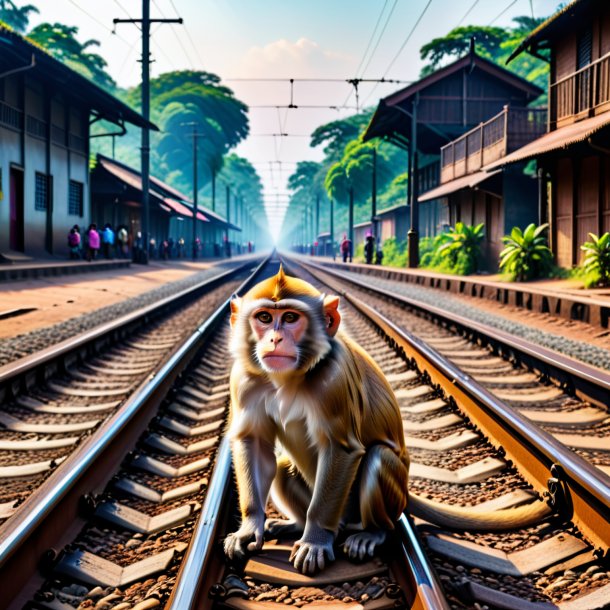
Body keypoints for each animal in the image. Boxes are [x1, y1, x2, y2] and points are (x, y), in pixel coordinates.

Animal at [223, 264, 552, 572]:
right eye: (265, 318)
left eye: (291, 318)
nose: (275, 339)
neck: (290, 377)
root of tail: (405, 493)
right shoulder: (245, 379)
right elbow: (254, 443)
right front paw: (250, 527)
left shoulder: (334, 379)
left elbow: (342, 449)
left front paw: (315, 539)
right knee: (282, 468)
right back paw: (296, 524)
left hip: (381, 502)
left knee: (378, 460)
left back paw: (372, 532)